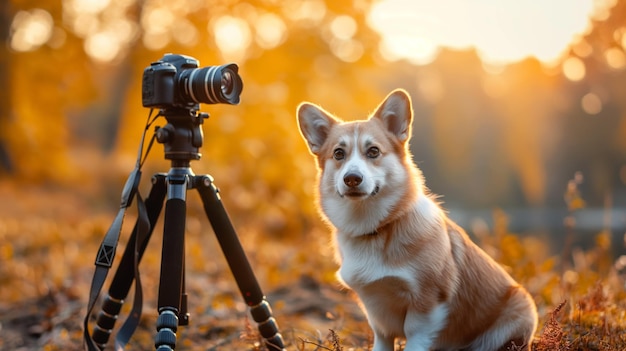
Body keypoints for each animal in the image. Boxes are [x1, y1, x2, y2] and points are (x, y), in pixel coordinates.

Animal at [296, 89, 536, 350]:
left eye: (374, 151)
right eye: (338, 154)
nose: (352, 178)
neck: (375, 228)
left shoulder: (426, 307)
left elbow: (414, 338)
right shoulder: (377, 314)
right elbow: (382, 341)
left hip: (518, 312)